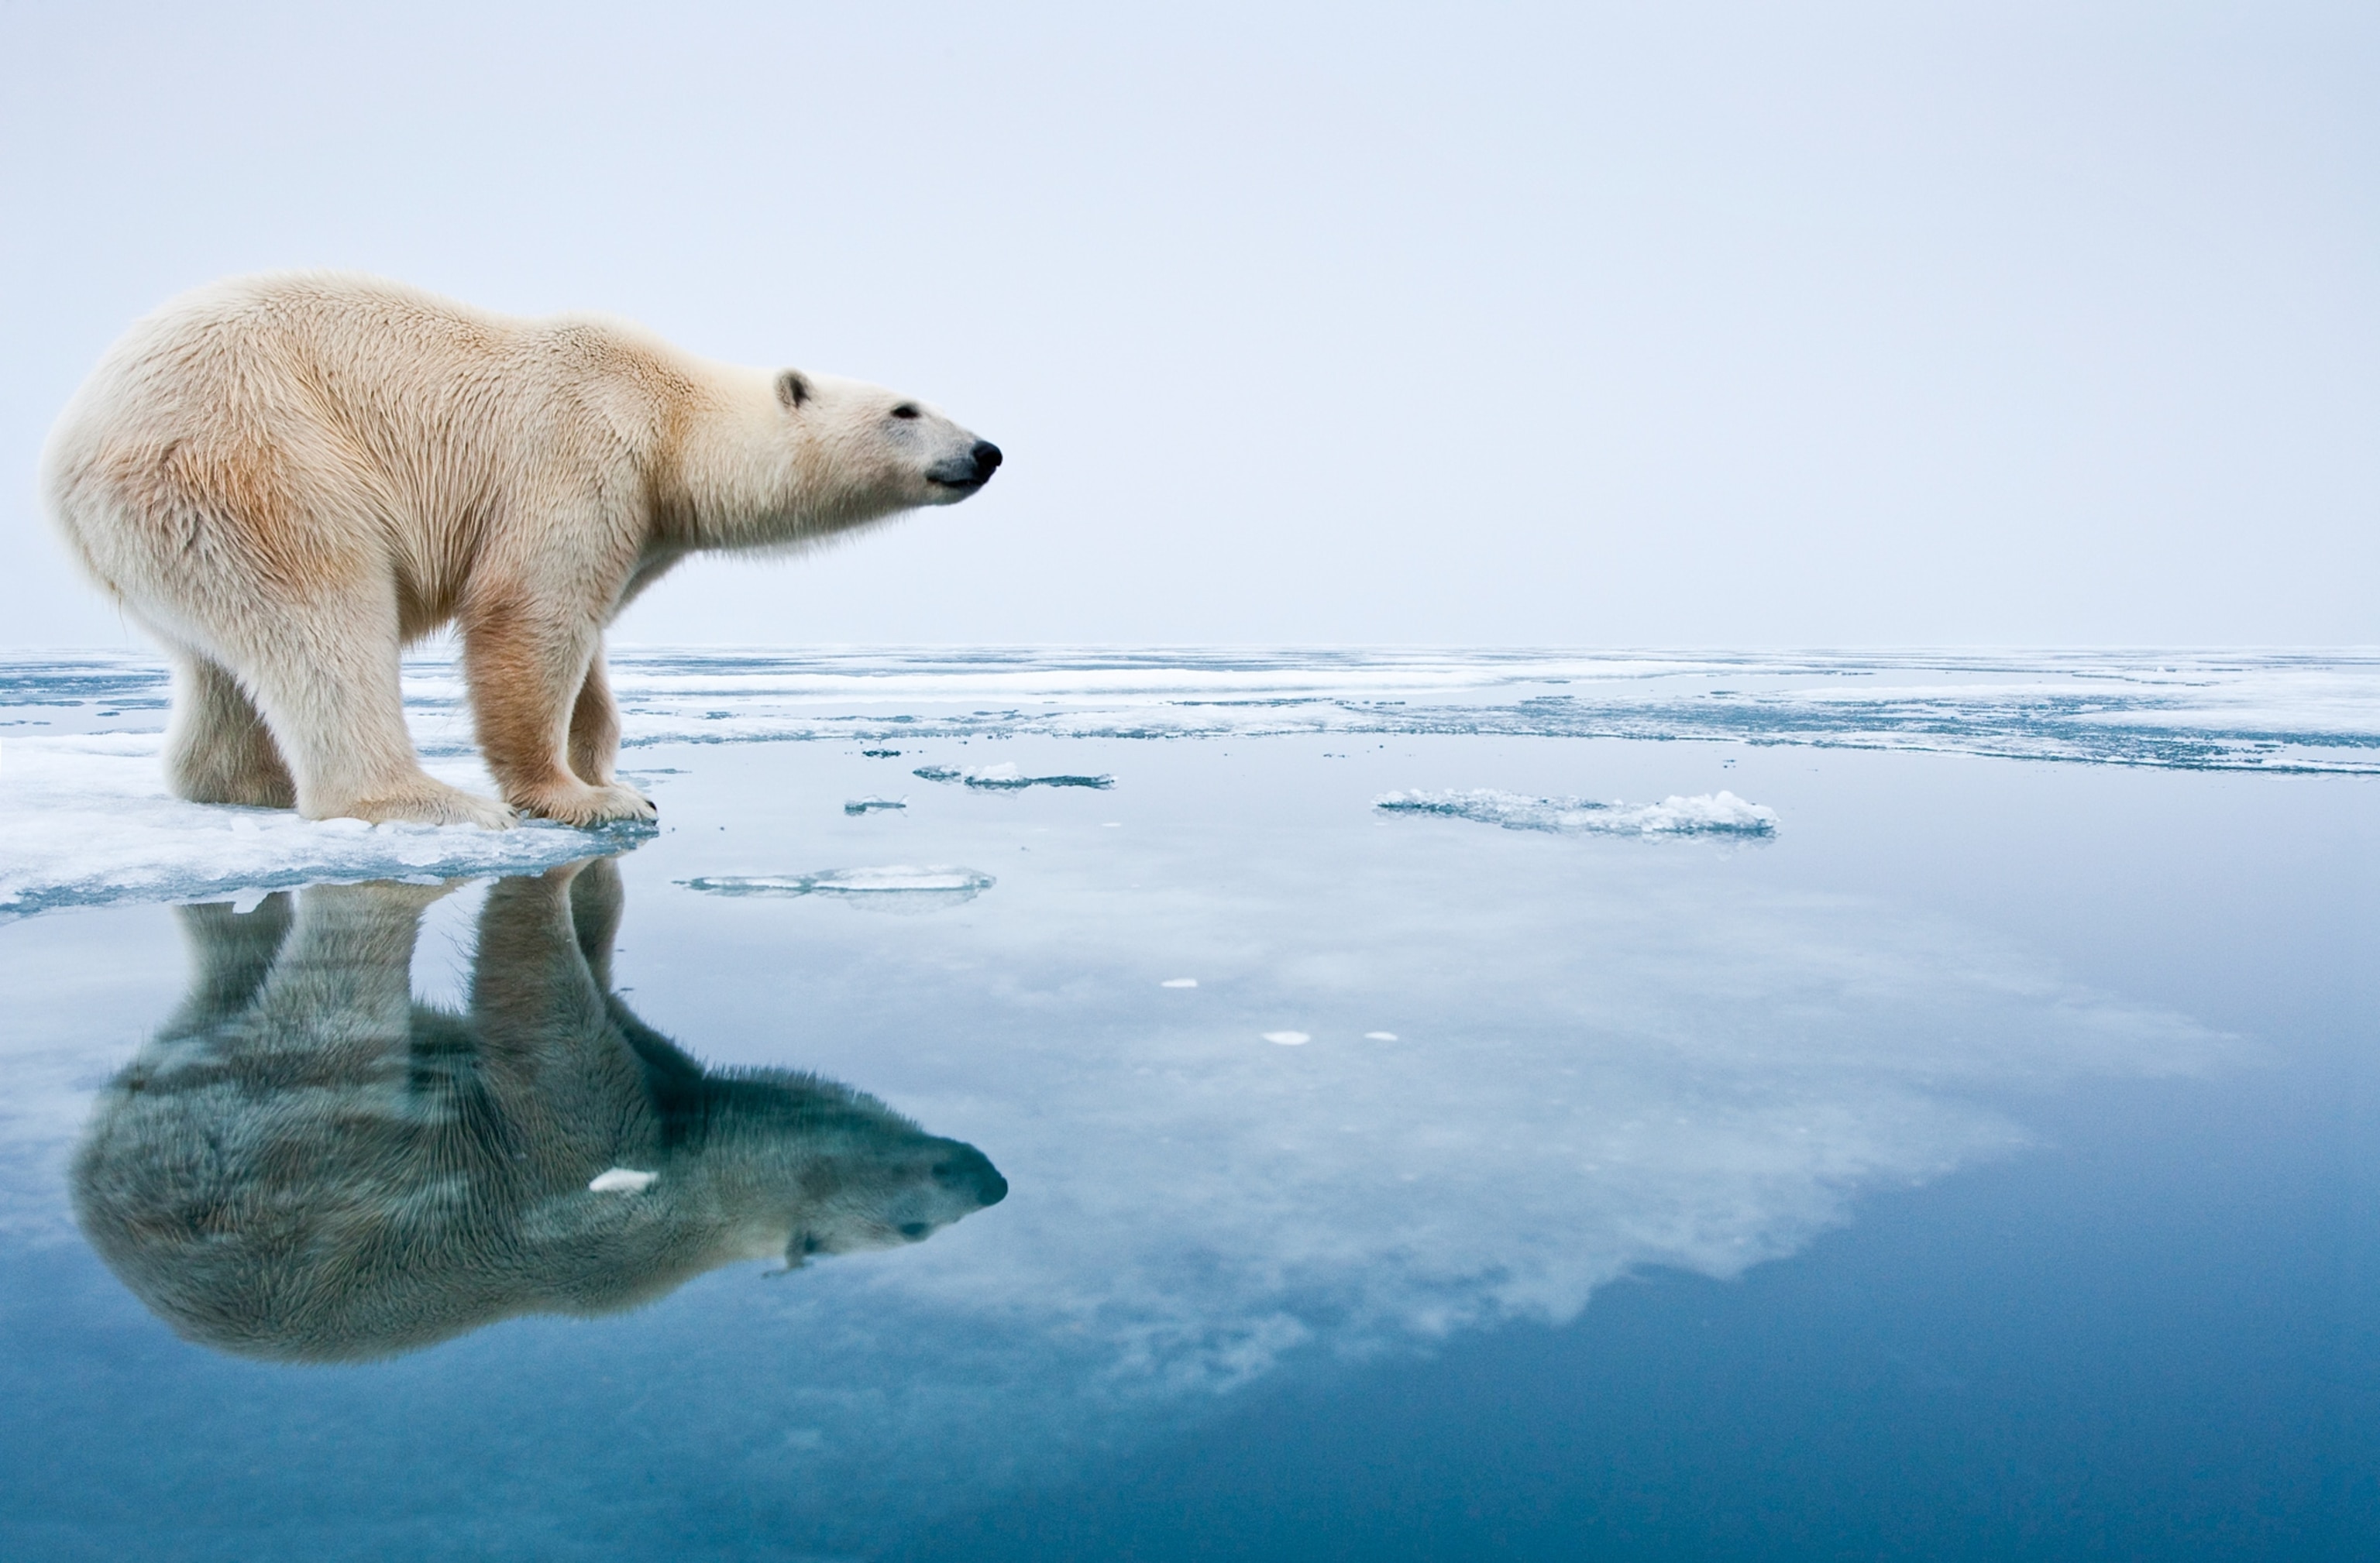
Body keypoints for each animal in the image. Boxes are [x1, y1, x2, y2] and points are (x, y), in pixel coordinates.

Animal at [40, 272, 1001, 828]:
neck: (668, 416)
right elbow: (529, 615)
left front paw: (618, 772)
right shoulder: (579, 451)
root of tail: (67, 452)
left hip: (174, 525)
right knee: (324, 612)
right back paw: (423, 801)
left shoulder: (637, 519)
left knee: (222, 658)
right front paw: (581, 798)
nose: (986, 451)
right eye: (906, 409)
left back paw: (252, 784)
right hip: (255, 455)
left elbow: (592, 649)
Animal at [69, 857, 1008, 1362]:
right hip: (244, 1152)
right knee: (330, 1025)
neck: (683, 1196)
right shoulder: (601, 1205)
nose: (990, 1178)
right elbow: (550, 1046)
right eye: (915, 1226)